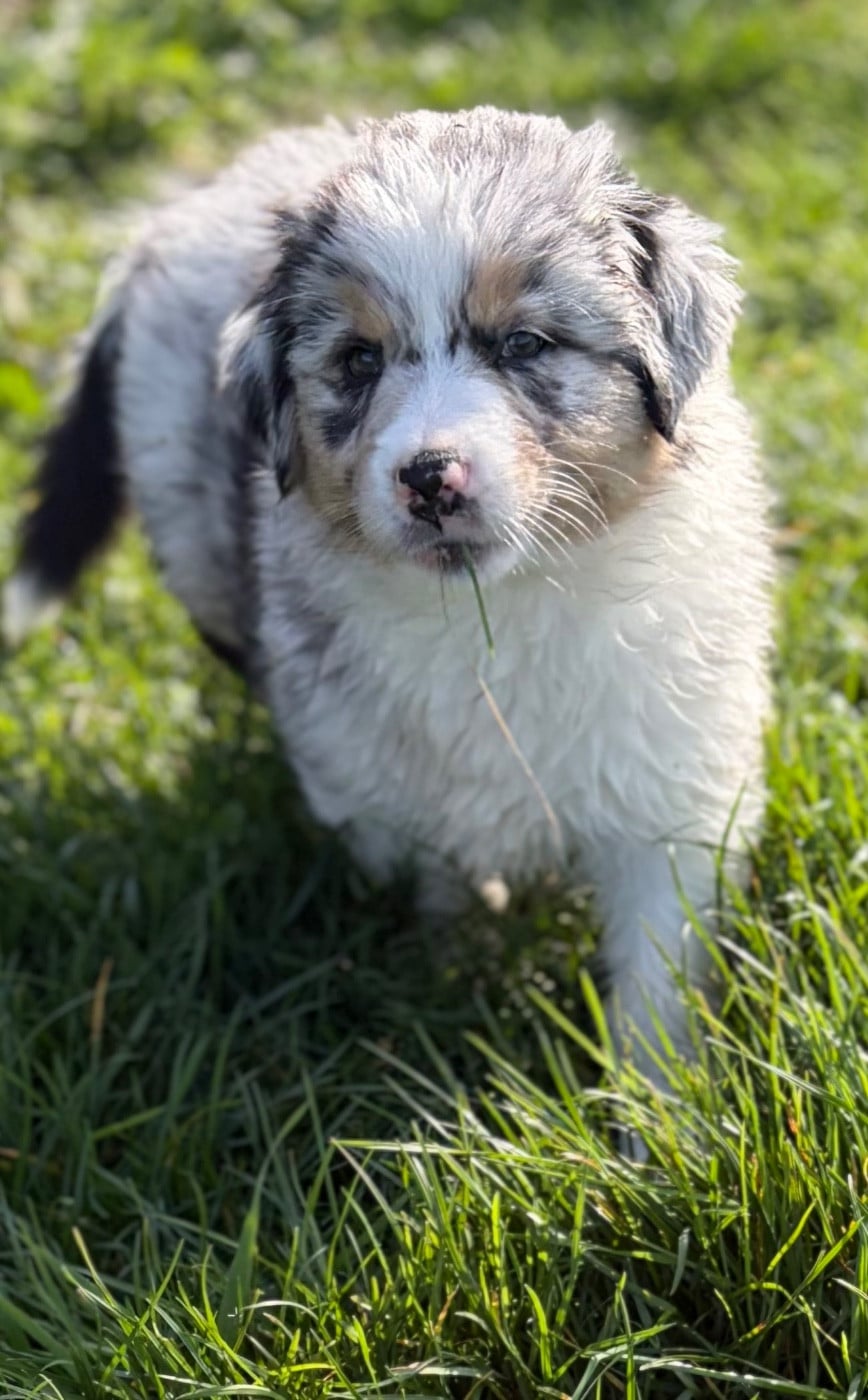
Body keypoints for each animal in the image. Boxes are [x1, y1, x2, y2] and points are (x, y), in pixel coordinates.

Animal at [4, 107, 773, 1081]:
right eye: (359, 361)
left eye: (523, 344)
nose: (428, 478)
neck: (502, 609)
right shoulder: (382, 799)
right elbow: (442, 889)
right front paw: (457, 976)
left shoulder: (671, 797)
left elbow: (658, 979)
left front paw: (657, 1107)